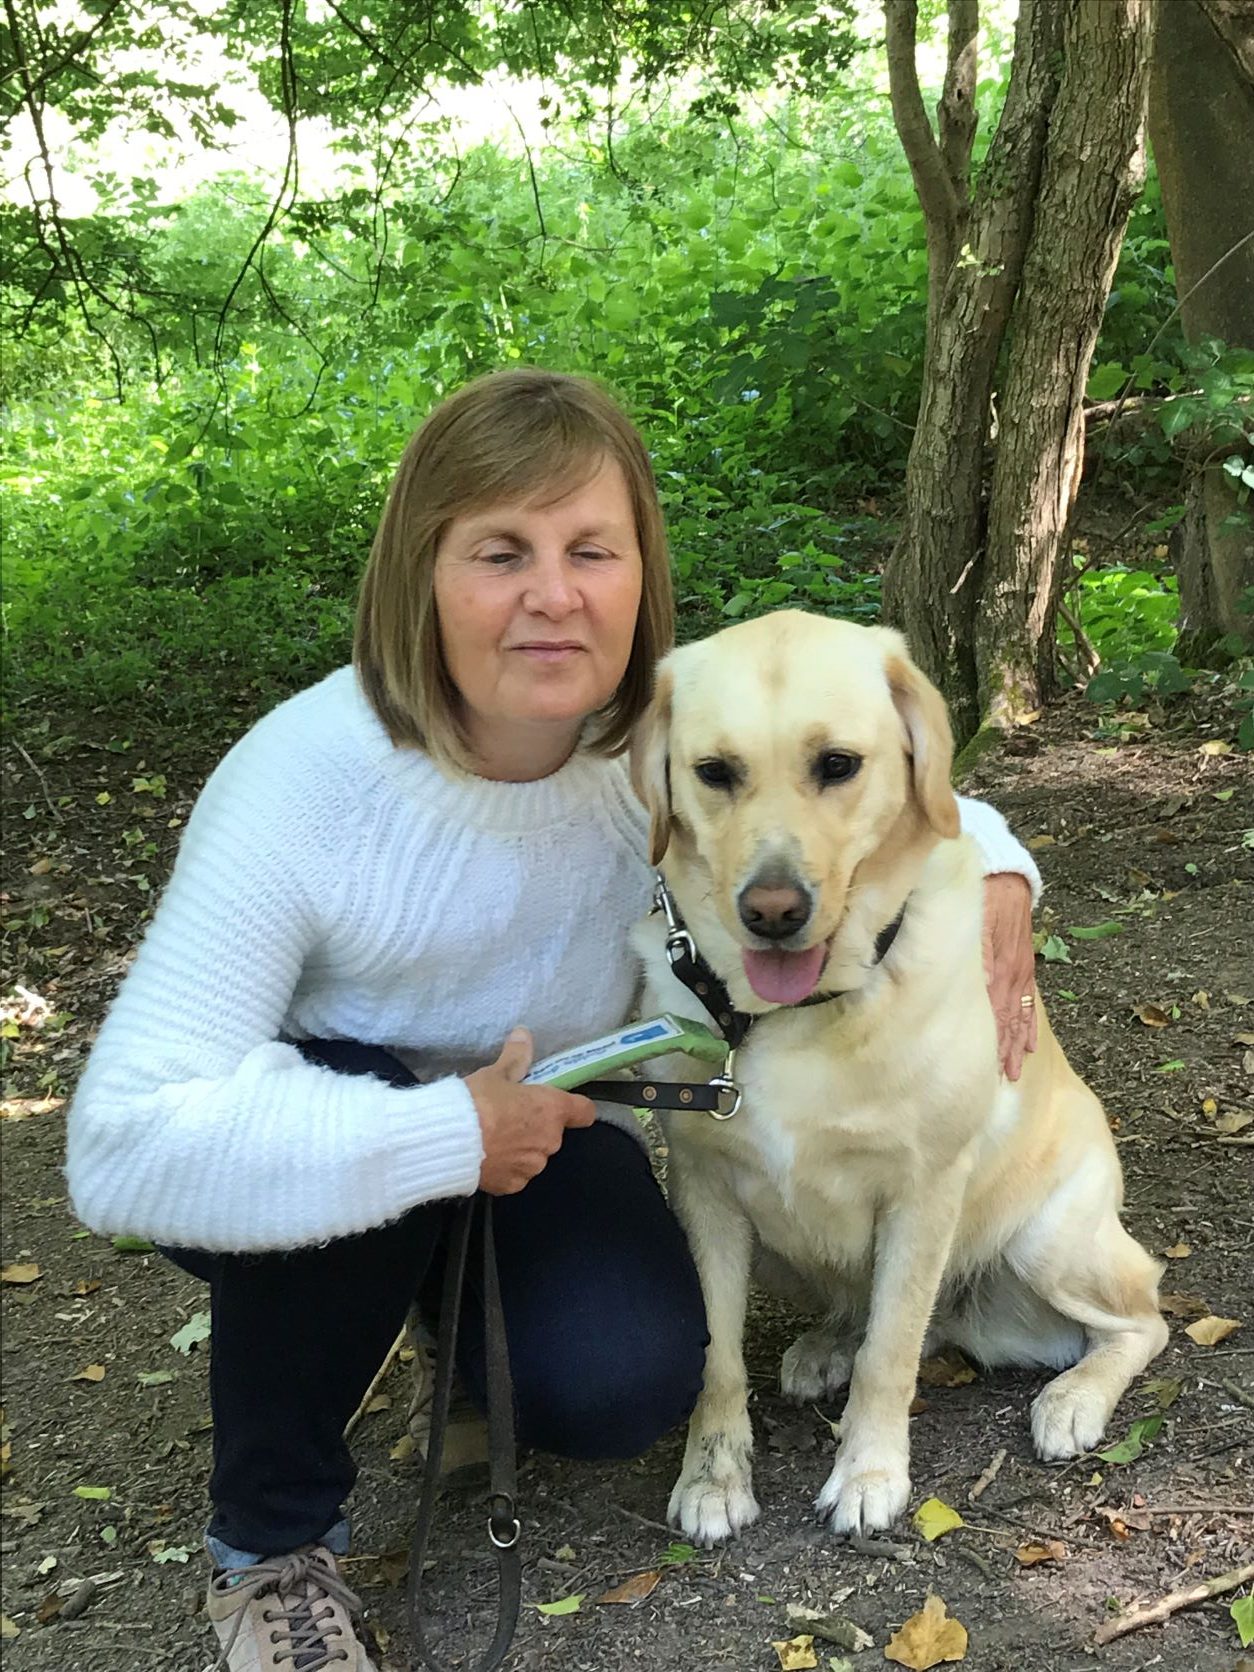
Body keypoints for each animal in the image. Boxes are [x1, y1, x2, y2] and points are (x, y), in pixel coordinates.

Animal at [632, 611, 1177, 1538]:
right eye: (714, 773)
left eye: (837, 764)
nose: (771, 912)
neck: (794, 1015)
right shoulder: (704, 1185)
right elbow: (717, 1358)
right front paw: (714, 1478)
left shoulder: (924, 1191)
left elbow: (890, 1354)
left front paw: (869, 1474)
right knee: (868, 1312)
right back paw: (824, 1349)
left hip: (1048, 1245)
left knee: (1141, 1322)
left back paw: (1073, 1400)